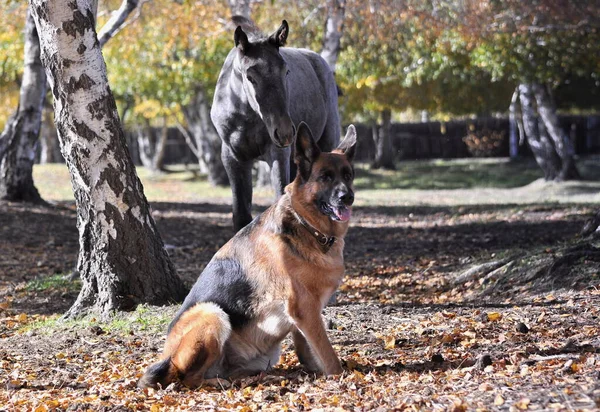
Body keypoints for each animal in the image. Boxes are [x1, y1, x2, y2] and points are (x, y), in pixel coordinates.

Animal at [138, 122, 356, 390]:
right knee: (190, 378)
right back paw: (220, 382)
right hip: (213, 314)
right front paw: (339, 377)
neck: (307, 225)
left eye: (348, 175)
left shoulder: (301, 316)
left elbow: (307, 349)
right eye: (325, 176)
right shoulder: (305, 308)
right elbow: (327, 351)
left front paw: (314, 372)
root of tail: (168, 355)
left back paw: (256, 378)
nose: (348, 197)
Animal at [212, 16, 342, 232]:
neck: (247, 117)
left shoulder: (278, 155)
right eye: (249, 76)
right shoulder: (233, 158)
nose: (284, 132)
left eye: (286, 71)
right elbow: (241, 215)